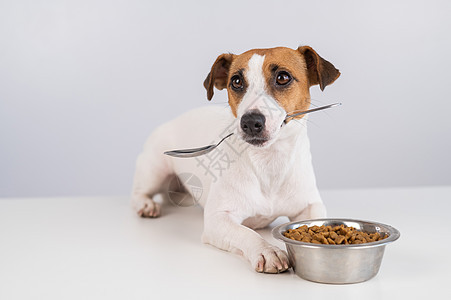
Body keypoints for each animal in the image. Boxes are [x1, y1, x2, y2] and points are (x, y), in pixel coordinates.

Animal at [132, 45, 340, 274]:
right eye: (236, 81)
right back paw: (146, 205)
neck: (268, 162)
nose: (250, 121)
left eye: (283, 77)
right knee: (138, 192)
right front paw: (267, 250)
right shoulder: (218, 219)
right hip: (155, 169)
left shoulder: (310, 206)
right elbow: (246, 233)